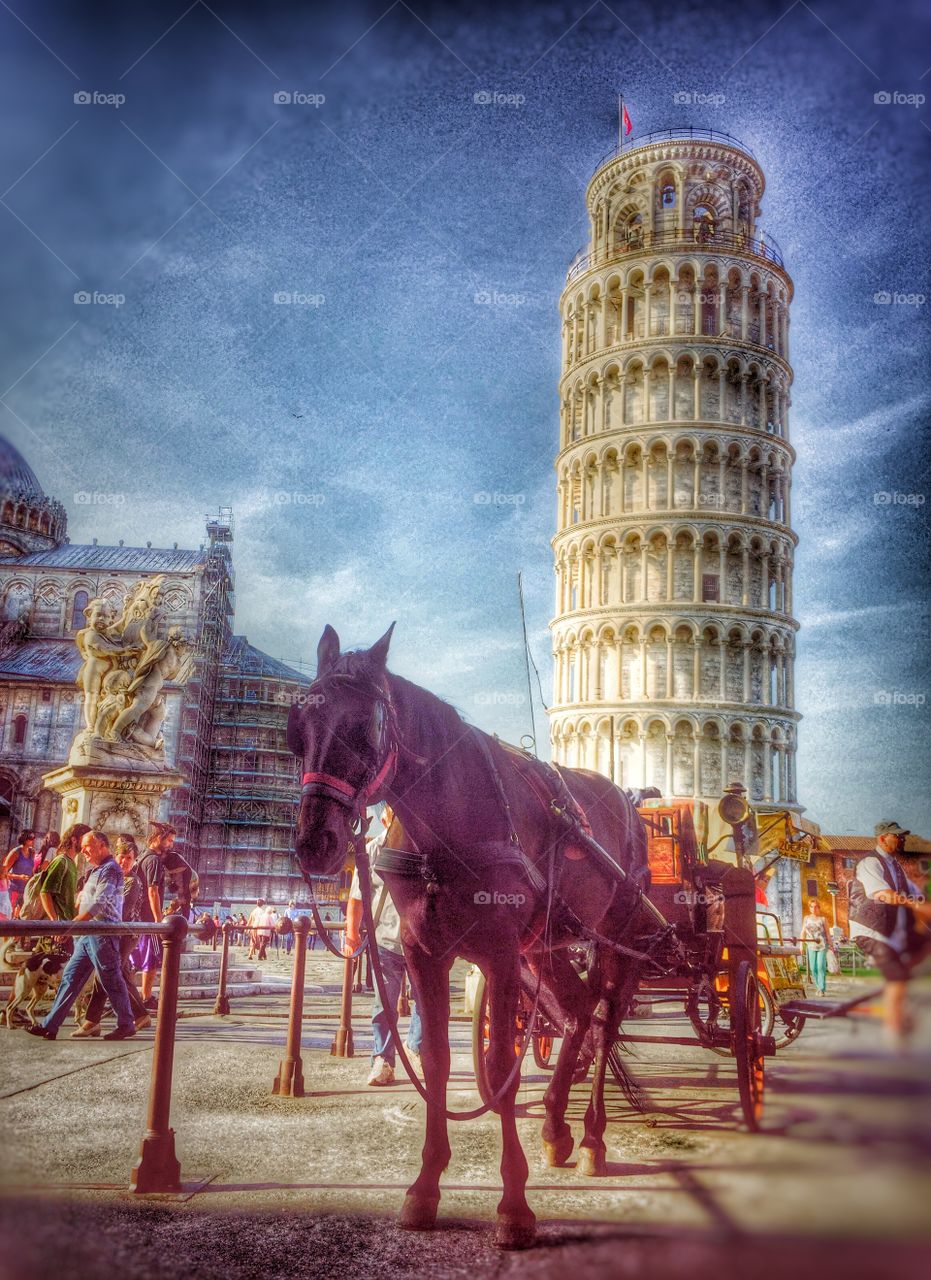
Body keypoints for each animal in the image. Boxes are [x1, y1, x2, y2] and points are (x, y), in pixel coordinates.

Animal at [288, 627, 660, 1249]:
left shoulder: (502, 956)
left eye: (366, 728)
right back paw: (555, 1125)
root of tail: (627, 803)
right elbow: (437, 1060)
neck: (451, 818)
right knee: (577, 1011)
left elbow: (501, 1065)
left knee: (604, 1023)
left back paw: (590, 1136)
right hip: (547, 946)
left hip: (614, 939)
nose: (315, 843)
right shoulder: (425, 953)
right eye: (297, 727)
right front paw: (425, 1187)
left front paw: (514, 1206)